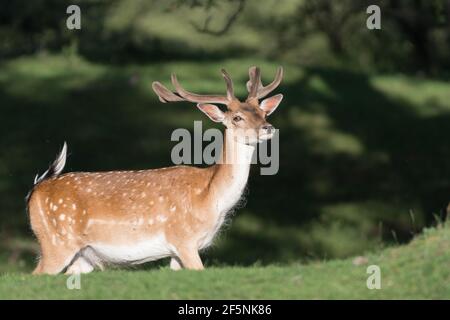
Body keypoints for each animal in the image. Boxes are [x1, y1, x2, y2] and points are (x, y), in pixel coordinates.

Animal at [27, 65, 282, 276]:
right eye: (237, 117)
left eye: (263, 113)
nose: (268, 128)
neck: (209, 197)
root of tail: (36, 190)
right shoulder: (183, 239)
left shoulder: (177, 251)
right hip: (56, 242)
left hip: (83, 256)